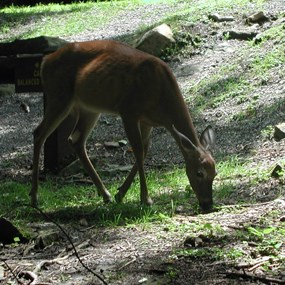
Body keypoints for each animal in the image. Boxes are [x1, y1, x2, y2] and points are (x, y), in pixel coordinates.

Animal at [30, 40, 215, 213]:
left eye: (215, 173)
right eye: (199, 173)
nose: (208, 205)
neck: (160, 97)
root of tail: (45, 61)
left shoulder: (148, 122)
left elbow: (144, 151)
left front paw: (120, 194)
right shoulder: (129, 112)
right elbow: (138, 151)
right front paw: (145, 199)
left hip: (89, 108)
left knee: (75, 140)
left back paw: (106, 195)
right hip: (59, 96)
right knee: (39, 133)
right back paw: (34, 198)